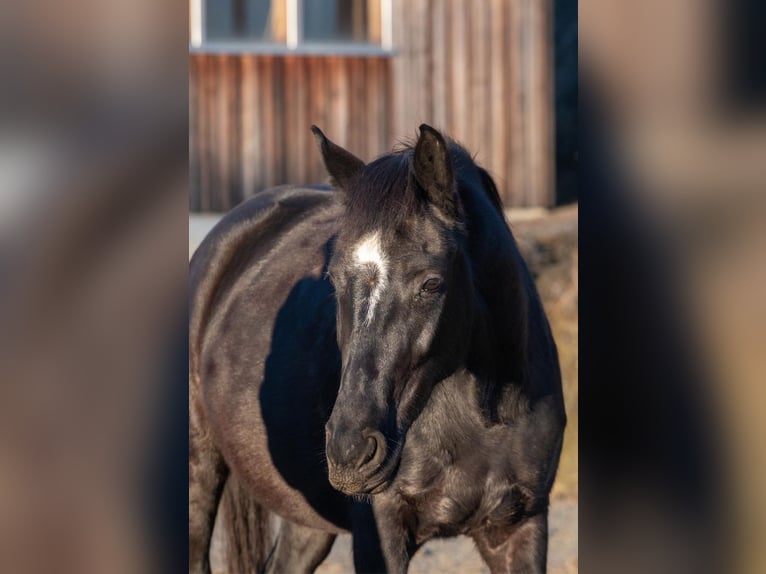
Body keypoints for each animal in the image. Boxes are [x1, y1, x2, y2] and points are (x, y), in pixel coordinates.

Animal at [189, 127, 568, 574]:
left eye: (431, 283)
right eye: (334, 279)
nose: (349, 451)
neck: (485, 416)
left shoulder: (520, 529)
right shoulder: (380, 534)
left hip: (308, 522)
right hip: (200, 472)